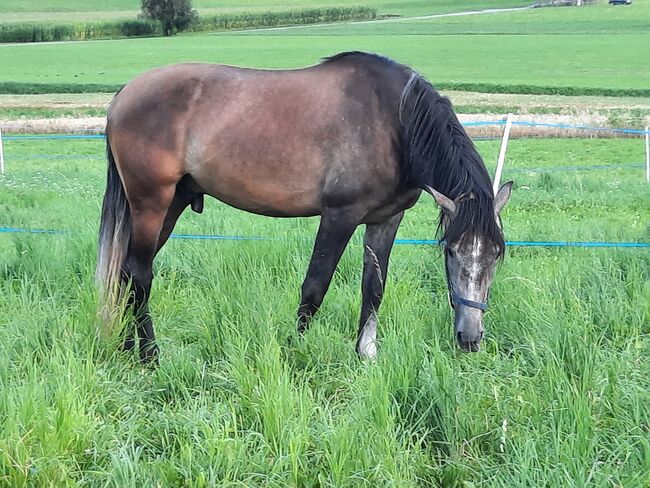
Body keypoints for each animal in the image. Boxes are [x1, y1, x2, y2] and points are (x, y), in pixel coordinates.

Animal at [97, 51, 512, 364]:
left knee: (126, 272)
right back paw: (150, 355)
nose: (470, 337)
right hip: (151, 203)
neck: (395, 120)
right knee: (140, 274)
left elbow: (373, 288)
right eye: (452, 251)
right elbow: (315, 287)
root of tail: (123, 96)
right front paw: (295, 350)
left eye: (496, 255)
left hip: (170, 204)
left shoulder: (386, 220)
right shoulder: (339, 216)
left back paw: (126, 346)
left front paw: (366, 355)